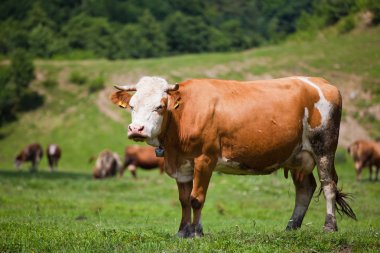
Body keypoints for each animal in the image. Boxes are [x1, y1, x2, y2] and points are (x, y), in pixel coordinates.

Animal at [110, 75, 356, 237]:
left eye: (160, 106)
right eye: (132, 106)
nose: (136, 129)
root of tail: (322, 83)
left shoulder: (205, 158)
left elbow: (197, 198)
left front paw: (196, 233)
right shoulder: (182, 165)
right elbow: (184, 200)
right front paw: (183, 232)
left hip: (324, 147)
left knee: (328, 185)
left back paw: (329, 227)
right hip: (299, 156)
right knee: (305, 188)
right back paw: (291, 227)